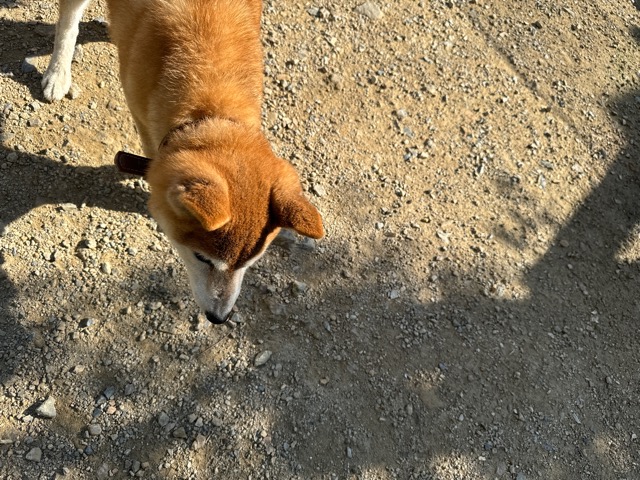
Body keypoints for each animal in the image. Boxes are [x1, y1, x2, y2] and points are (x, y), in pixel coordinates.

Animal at [42, 0, 324, 324]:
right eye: (201, 257)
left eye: (249, 262)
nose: (219, 318)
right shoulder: (143, 117)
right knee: (69, 19)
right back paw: (58, 73)